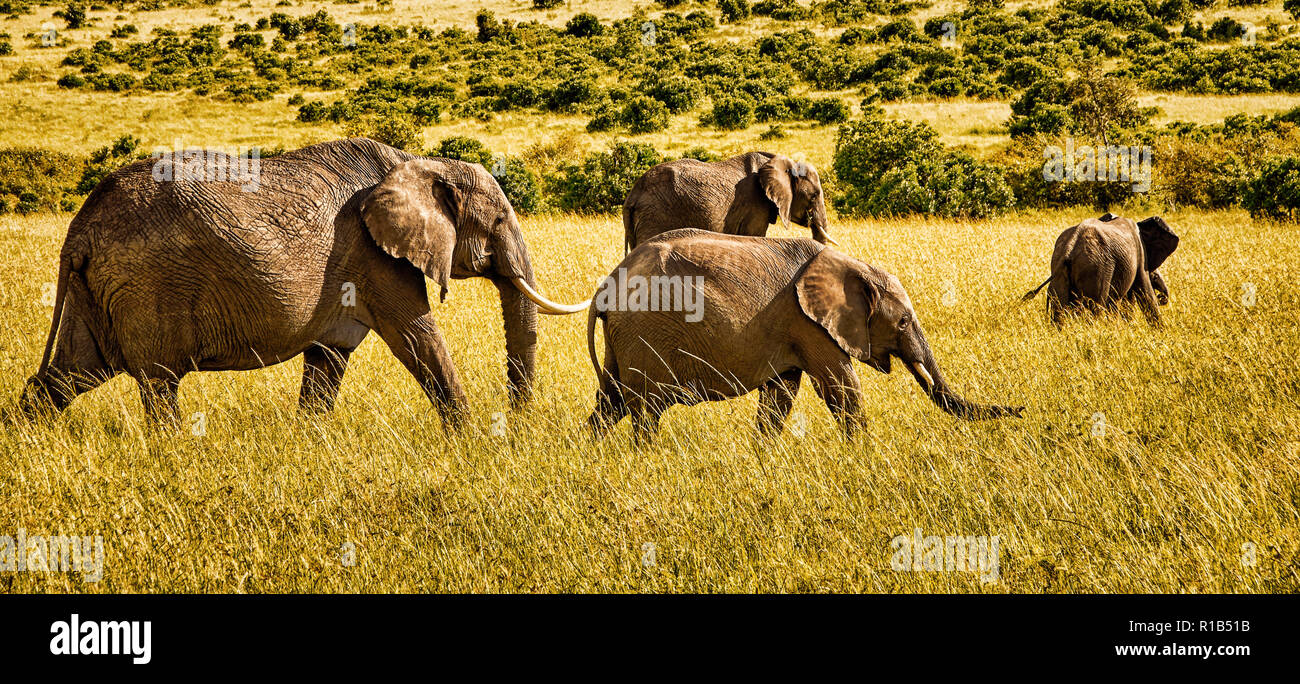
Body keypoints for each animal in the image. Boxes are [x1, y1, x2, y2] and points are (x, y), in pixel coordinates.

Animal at [19, 137, 590, 429]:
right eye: (499, 220)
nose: (517, 420)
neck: (419, 162)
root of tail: (80, 229)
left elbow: (329, 359)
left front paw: (309, 441)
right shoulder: (376, 259)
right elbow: (418, 337)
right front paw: (470, 439)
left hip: (96, 289)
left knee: (67, 376)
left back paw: (29, 440)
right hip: (146, 285)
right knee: (158, 382)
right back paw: (172, 451)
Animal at [1019, 213, 1185, 326]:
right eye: (1154, 276)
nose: (1163, 298)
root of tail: (1069, 250)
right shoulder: (1140, 254)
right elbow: (1146, 294)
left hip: (1060, 270)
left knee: (1058, 313)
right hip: (1096, 269)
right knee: (1095, 309)